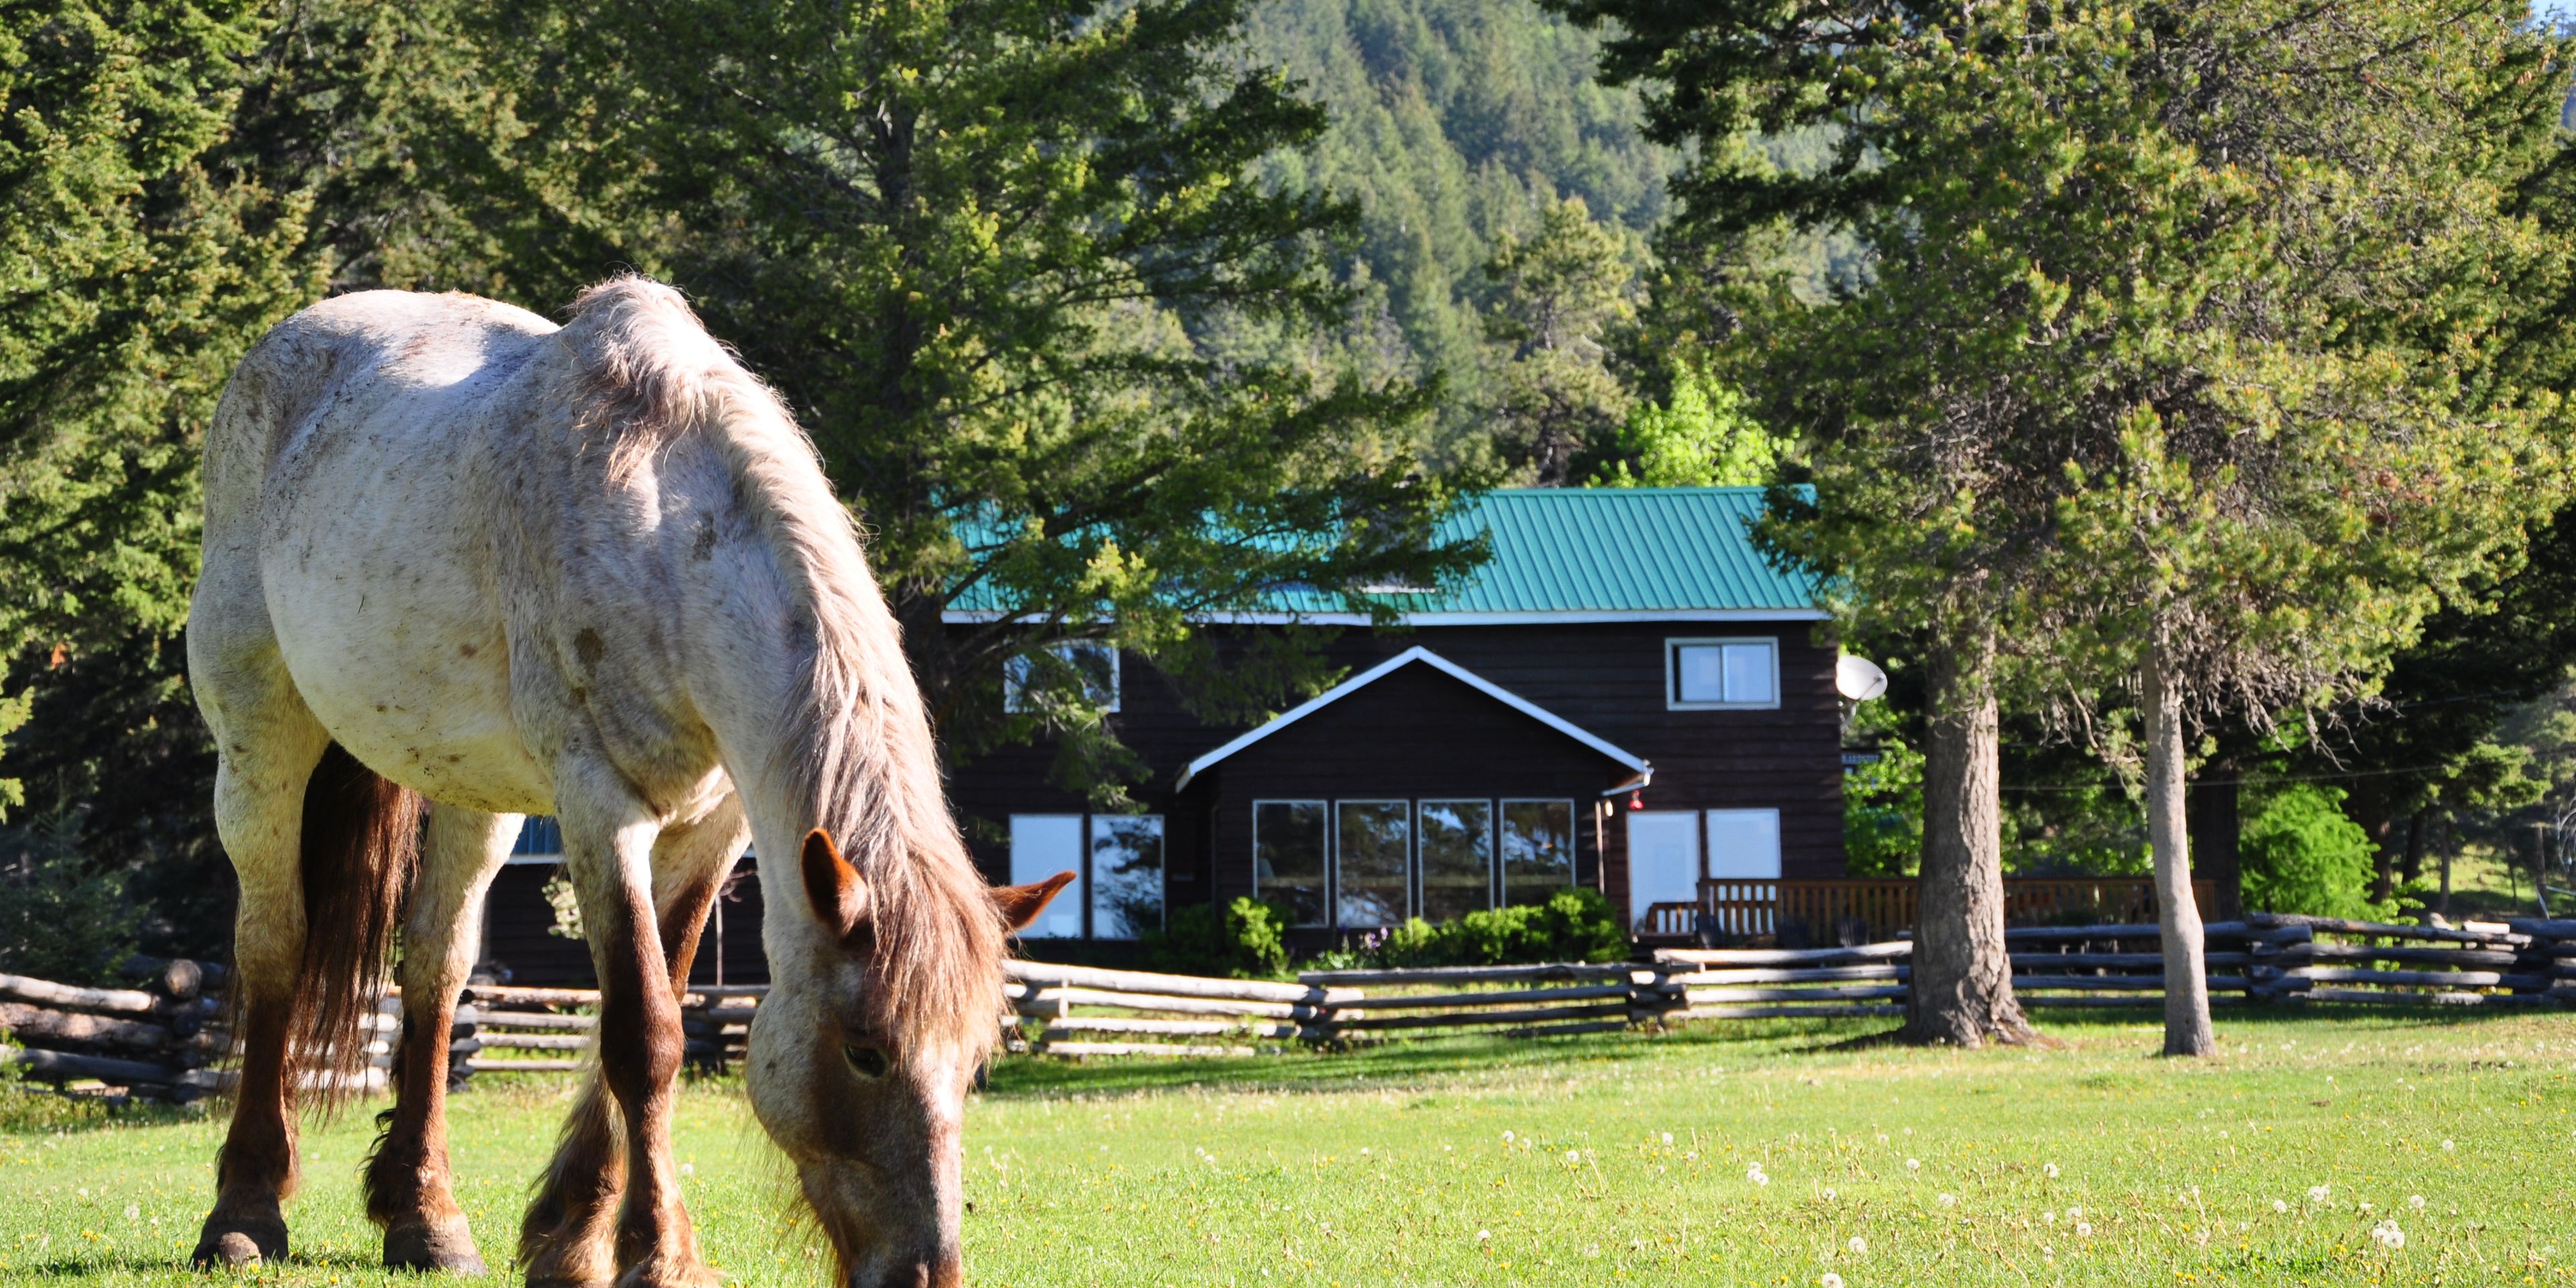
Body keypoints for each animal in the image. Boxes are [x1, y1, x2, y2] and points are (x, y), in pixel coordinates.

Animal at [184, 276, 1072, 1288]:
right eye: (866, 1052)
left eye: (973, 1061)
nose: (925, 1272)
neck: (660, 523)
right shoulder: (600, 812)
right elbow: (645, 1034)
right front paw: (657, 1252)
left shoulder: (713, 829)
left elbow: (662, 1007)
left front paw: (572, 1232)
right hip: (259, 745)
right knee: (274, 947)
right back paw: (243, 1213)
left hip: (473, 797)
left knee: (436, 969)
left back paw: (426, 1218)